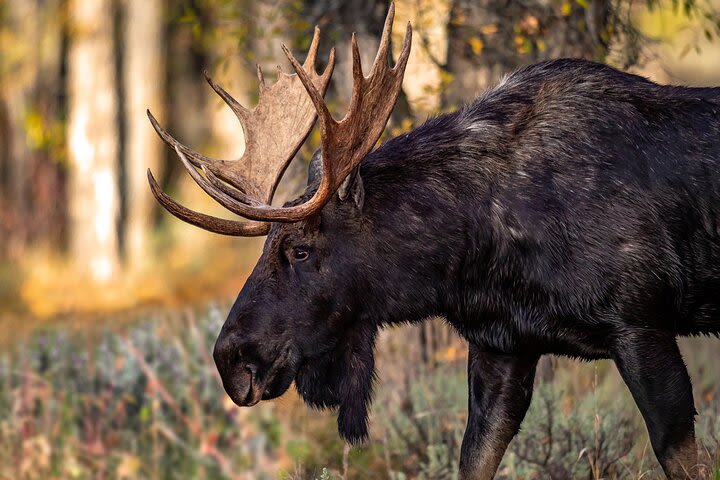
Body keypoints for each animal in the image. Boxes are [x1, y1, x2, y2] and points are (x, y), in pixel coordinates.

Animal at [146, 4, 720, 480]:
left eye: (302, 248)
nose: (230, 360)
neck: (477, 256)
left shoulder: (641, 324)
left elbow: (680, 457)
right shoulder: (500, 344)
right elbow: (474, 458)